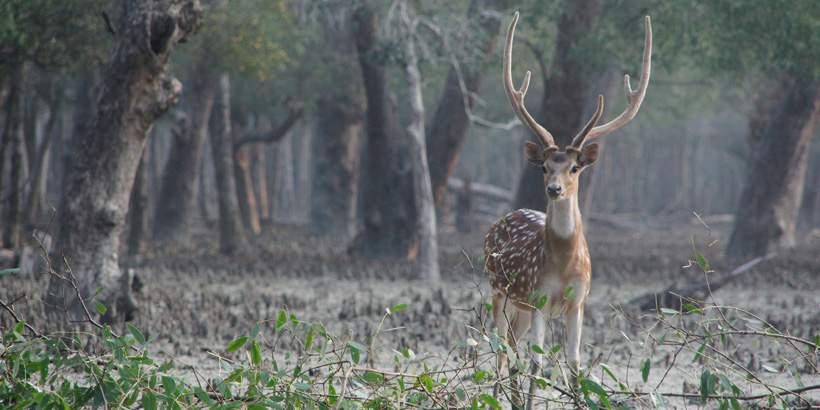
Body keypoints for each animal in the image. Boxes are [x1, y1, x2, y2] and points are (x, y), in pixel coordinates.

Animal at [484, 11, 652, 390]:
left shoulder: (579, 302)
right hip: (498, 290)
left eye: (575, 168)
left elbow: (575, 364)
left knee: (511, 351)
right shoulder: (539, 298)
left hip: (519, 306)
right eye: (545, 167)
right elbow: (535, 365)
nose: (554, 189)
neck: (563, 265)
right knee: (501, 353)